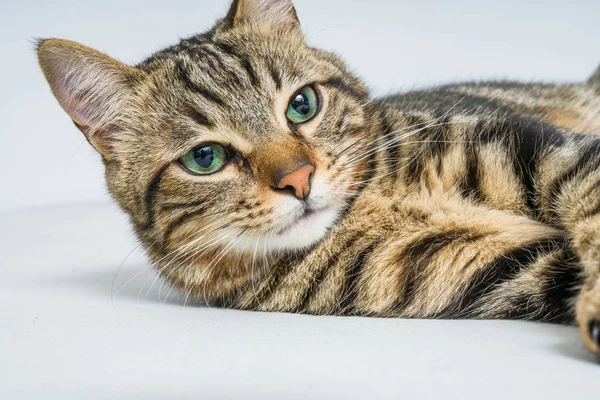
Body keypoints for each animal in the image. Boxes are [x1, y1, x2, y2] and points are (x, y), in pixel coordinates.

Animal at [37, 0, 600, 356]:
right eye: (205, 158)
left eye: (302, 104)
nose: (298, 178)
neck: (373, 203)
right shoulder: (485, 269)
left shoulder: (533, 148)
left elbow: (589, 198)